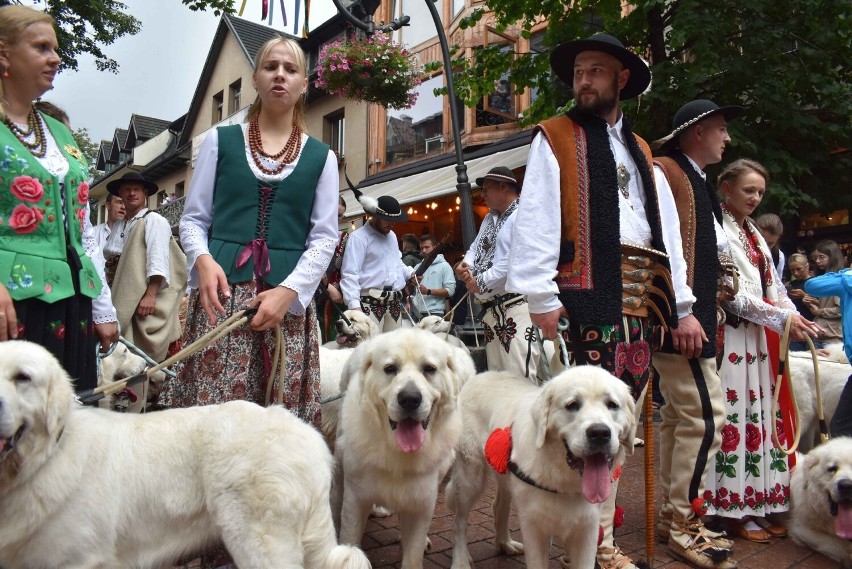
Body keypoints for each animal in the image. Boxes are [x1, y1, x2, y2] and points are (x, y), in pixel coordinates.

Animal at [332, 328, 472, 568]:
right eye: (390, 369)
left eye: (429, 369)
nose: (409, 398)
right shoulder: (355, 499)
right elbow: (350, 539)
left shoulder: (422, 503)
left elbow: (413, 553)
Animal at [442, 366, 636, 564]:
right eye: (572, 405)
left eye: (612, 404)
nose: (599, 433)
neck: (564, 481)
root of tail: (480, 375)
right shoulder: (534, 528)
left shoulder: (587, 531)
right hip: (470, 475)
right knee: (459, 522)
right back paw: (461, 560)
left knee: (498, 505)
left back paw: (505, 543)